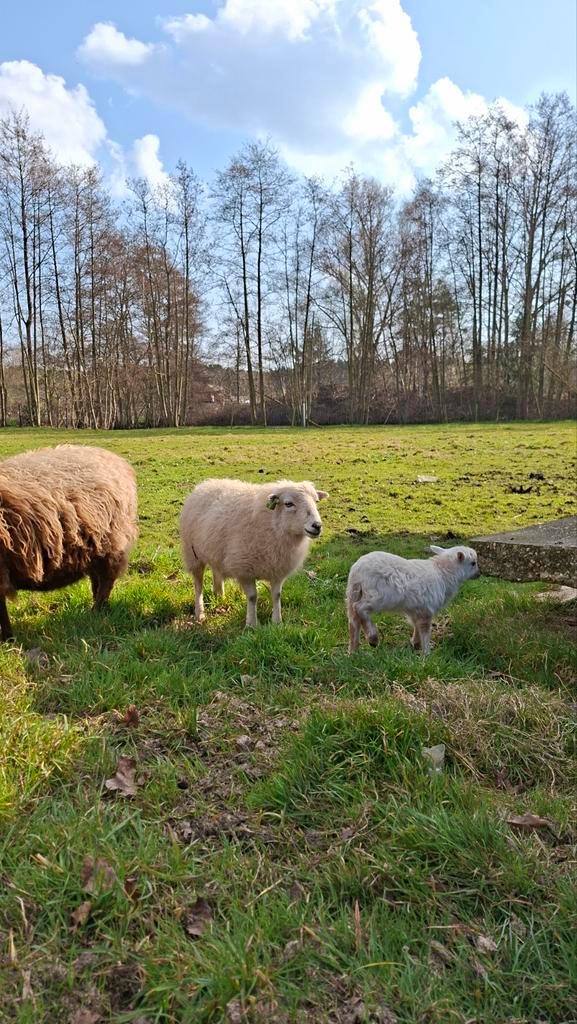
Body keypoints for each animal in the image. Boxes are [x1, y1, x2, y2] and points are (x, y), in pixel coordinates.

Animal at [0, 444, 137, 641]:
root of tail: (115, 459)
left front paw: (8, 639)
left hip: (112, 544)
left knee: (106, 581)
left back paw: (97, 612)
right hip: (95, 547)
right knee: (97, 579)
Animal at [180, 478, 328, 626]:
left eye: (316, 501)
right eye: (288, 504)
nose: (317, 526)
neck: (273, 525)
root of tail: (205, 484)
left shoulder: (278, 569)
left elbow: (277, 596)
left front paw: (277, 621)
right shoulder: (244, 570)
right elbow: (252, 597)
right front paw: (251, 624)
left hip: (216, 551)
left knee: (217, 571)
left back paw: (219, 595)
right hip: (193, 554)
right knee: (198, 584)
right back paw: (200, 613)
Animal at [346, 544, 480, 655]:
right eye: (473, 563)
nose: (479, 574)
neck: (443, 572)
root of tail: (356, 572)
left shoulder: (417, 609)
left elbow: (416, 625)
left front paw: (416, 644)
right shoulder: (427, 608)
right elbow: (425, 630)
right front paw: (426, 653)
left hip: (354, 594)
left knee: (354, 621)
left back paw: (353, 651)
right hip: (378, 596)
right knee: (360, 608)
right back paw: (373, 638)